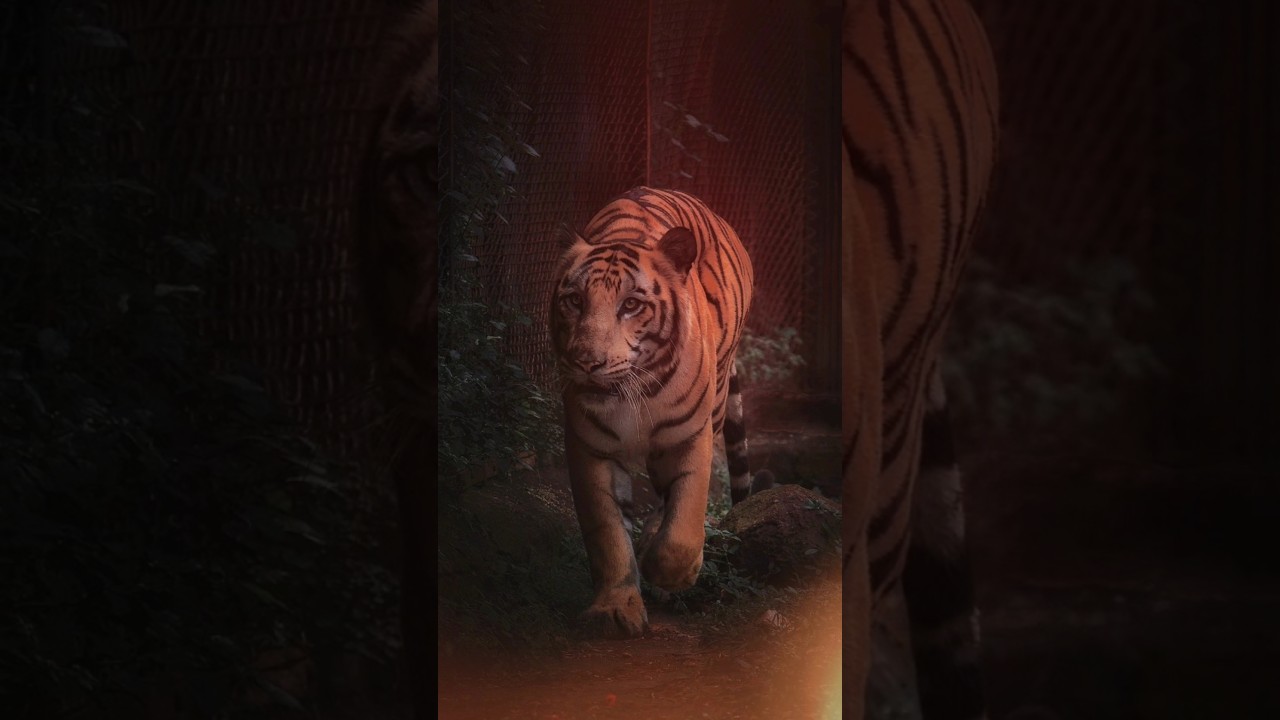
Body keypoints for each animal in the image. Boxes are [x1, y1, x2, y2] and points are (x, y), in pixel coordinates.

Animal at [548, 187, 766, 638]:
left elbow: (682, 526)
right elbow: (607, 532)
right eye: (574, 301)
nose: (587, 362)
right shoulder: (590, 447)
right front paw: (614, 609)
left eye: (631, 305)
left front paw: (668, 574)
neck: (632, 395)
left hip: (717, 399)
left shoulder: (690, 436)